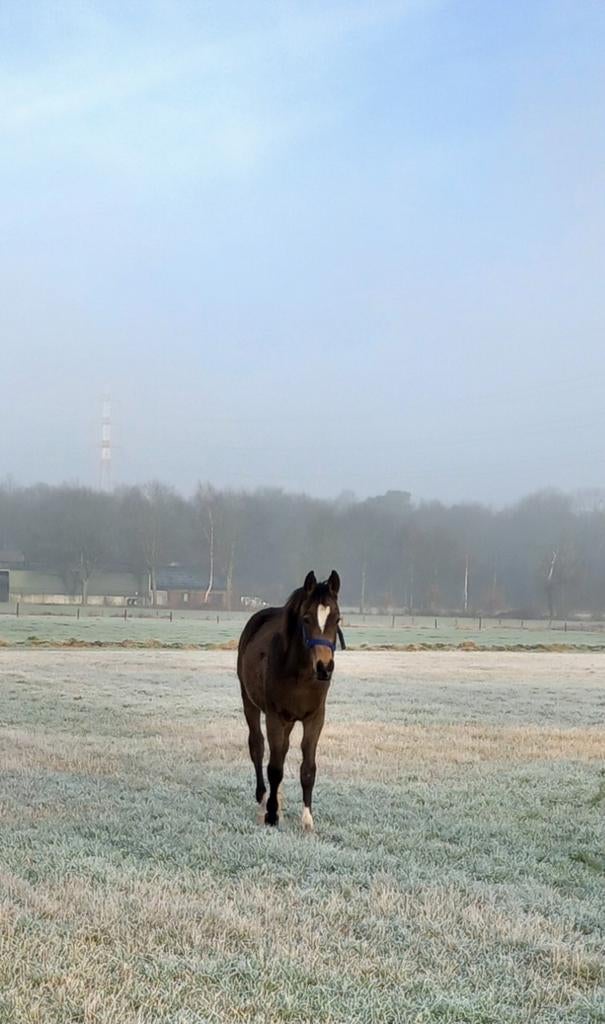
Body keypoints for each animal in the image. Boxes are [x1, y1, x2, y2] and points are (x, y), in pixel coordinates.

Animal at [237, 570, 342, 831]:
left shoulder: (314, 718)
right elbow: (274, 768)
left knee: (281, 751)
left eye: (337, 619)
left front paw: (307, 820)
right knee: (258, 747)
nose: (324, 667)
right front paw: (272, 815)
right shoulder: (275, 717)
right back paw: (263, 800)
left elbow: (308, 768)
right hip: (250, 703)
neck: (300, 675)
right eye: (306, 618)